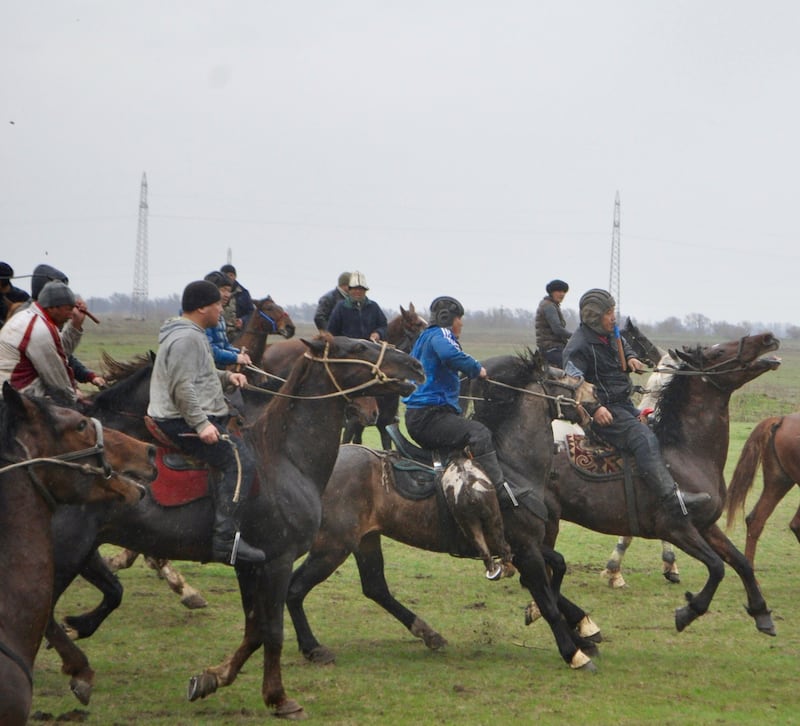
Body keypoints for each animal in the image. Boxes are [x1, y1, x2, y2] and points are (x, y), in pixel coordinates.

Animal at [44, 338, 424, 720]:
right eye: (357, 347)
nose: (416, 366)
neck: (285, 458)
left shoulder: (248, 565)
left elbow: (254, 630)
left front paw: (212, 678)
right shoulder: (277, 562)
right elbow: (272, 630)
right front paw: (279, 697)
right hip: (67, 552)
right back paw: (78, 667)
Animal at [284, 350, 604, 672]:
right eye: (562, 376)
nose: (595, 393)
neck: (512, 468)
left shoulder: (526, 545)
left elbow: (558, 567)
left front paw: (578, 630)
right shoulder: (526, 549)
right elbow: (548, 600)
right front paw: (573, 652)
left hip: (365, 539)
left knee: (375, 587)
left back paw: (428, 633)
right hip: (333, 546)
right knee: (295, 589)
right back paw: (313, 648)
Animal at [482, 332, 780, 636]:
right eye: (717, 352)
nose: (767, 338)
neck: (686, 453)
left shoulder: (705, 526)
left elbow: (741, 563)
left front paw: (761, 612)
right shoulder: (676, 528)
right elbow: (717, 567)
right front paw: (688, 611)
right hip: (546, 524)